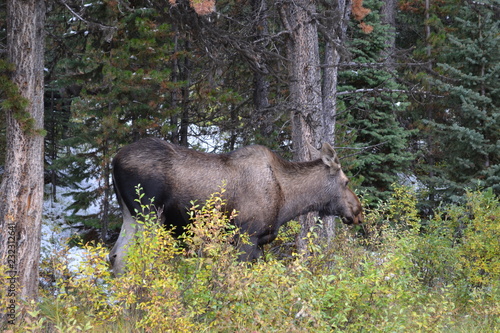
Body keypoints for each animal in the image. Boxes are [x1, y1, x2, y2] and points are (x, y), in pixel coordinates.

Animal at [108, 137, 364, 274]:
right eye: (346, 181)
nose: (358, 212)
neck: (288, 201)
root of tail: (114, 160)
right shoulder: (247, 234)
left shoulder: (259, 241)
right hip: (149, 215)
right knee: (136, 258)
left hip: (129, 215)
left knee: (116, 256)